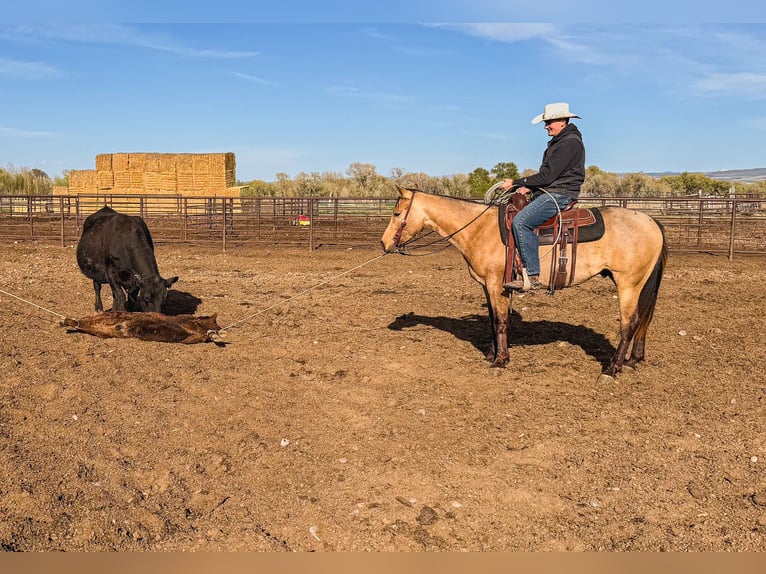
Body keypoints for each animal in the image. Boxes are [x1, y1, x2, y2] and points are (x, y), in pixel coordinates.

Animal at [380, 187, 667, 381]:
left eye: (396, 212)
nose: (383, 244)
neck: (479, 229)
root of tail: (651, 220)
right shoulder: (487, 286)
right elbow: (492, 321)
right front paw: (491, 354)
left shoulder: (497, 284)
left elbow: (500, 322)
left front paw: (500, 361)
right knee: (644, 319)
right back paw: (632, 360)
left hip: (628, 284)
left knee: (630, 323)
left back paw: (612, 369)